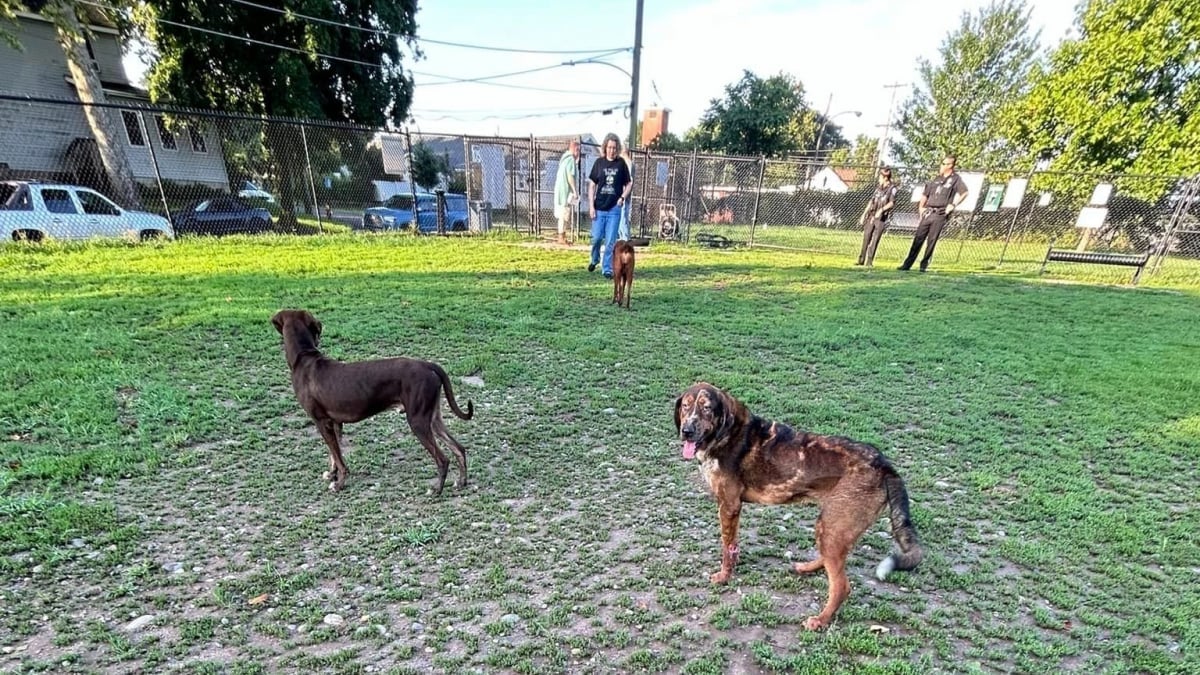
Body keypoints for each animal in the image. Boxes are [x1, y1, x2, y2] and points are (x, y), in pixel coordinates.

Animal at [274, 307, 475, 492]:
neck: (304, 357)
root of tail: (428, 365)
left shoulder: (322, 422)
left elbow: (338, 458)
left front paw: (339, 483)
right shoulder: (335, 424)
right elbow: (334, 455)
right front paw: (332, 474)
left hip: (418, 421)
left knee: (443, 459)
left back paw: (437, 490)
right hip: (432, 418)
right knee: (459, 448)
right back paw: (461, 482)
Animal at [676, 381, 916, 629]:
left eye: (706, 408)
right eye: (685, 406)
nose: (687, 431)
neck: (726, 433)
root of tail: (884, 464)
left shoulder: (729, 505)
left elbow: (727, 547)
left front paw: (724, 576)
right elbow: (733, 546)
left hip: (832, 526)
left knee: (841, 585)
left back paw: (820, 620)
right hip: (834, 526)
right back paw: (808, 568)